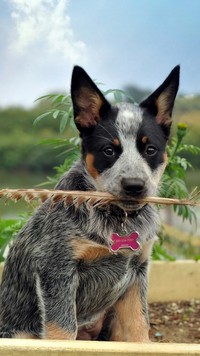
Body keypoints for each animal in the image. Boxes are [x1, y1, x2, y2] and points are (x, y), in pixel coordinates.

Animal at [0, 64, 179, 342]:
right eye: (109, 150)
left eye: (150, 150)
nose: (134, 186)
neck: (117, 219)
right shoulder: (56, 267)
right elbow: (63, 330)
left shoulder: (137, 271)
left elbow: (139, 326)